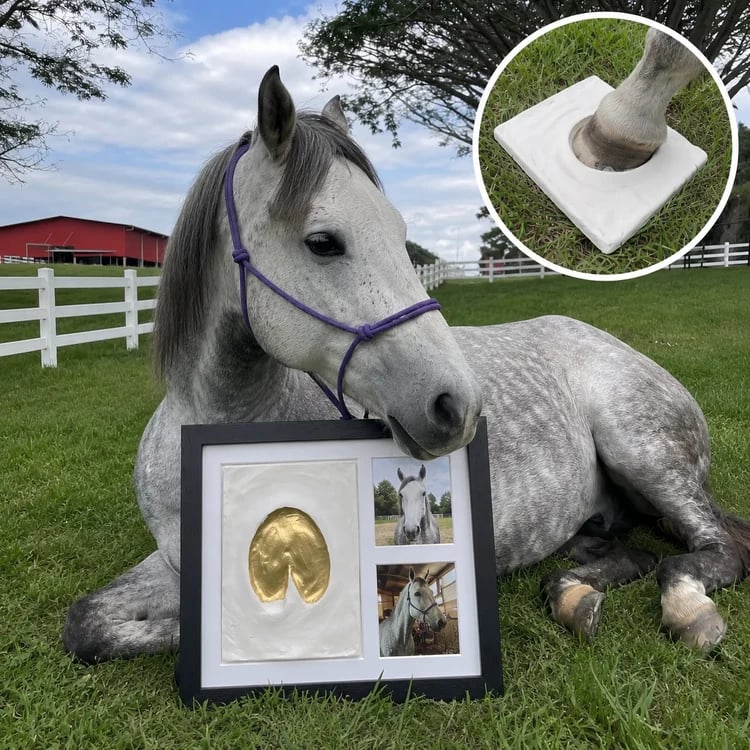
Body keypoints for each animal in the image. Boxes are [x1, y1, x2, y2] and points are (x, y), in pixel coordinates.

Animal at [62, 66, 750, 664]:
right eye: (322, 242)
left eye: (400, 235)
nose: (456, 405)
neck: (215, 418)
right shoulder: (168, 561)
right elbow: (87, 623)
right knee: (629, 553)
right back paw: (574, 594)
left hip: (647, 457)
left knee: (716, 549)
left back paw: (686, 607)